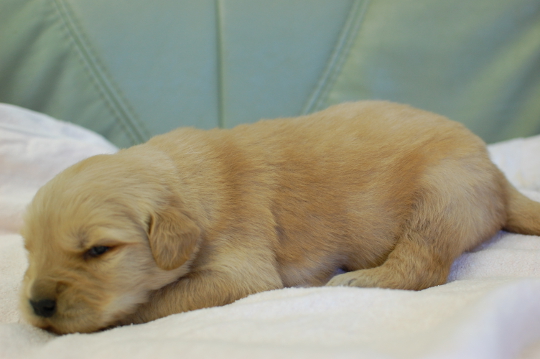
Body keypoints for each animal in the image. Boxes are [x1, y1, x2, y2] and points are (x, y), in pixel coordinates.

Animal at [17, 101, 540, 334]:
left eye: (98, 250)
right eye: (28, 250)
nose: (37, 304)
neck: (187, 184)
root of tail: (495, 172)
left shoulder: (242, 270)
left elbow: (161, 298)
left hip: (444, 195)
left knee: (423, 264)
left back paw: (361, 279)